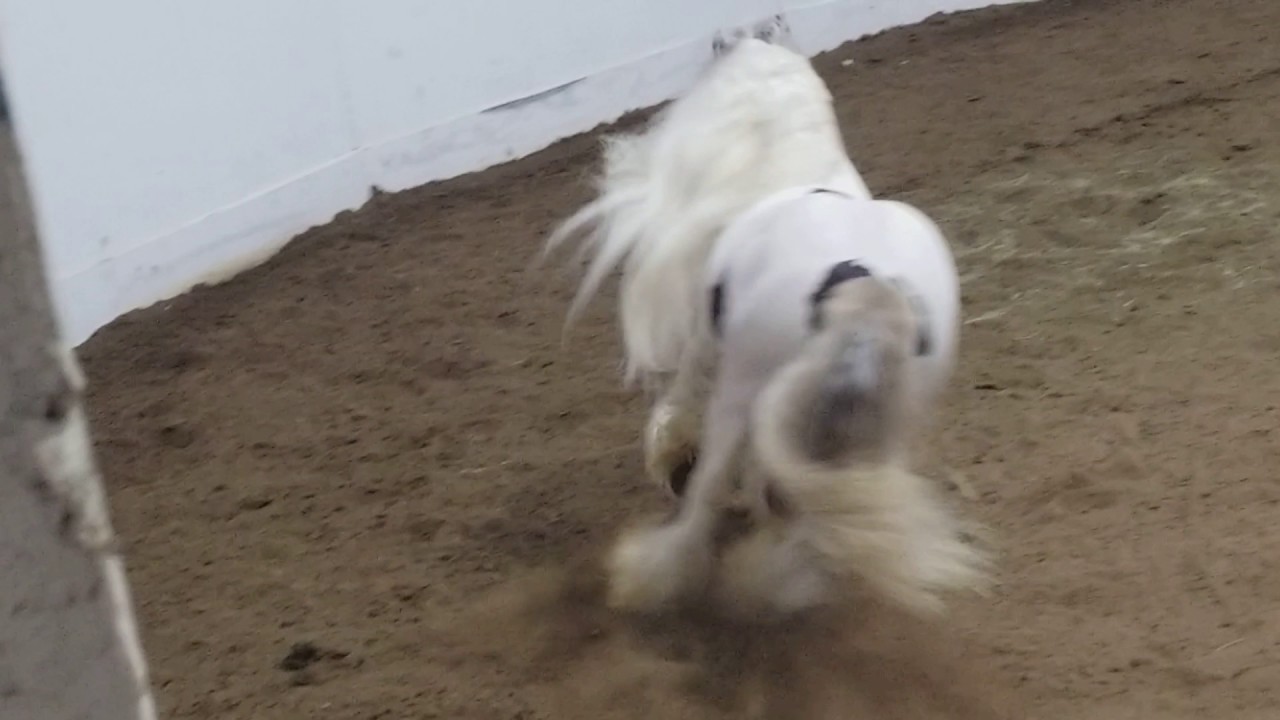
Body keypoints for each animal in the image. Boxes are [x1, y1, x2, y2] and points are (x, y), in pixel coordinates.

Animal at [544, 36, 987, 618]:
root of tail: (867, 308)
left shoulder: (710, 335)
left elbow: (685, 389)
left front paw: (672, 451)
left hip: (741, 393)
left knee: (709, 493)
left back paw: (657, 573)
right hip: (884, 429)